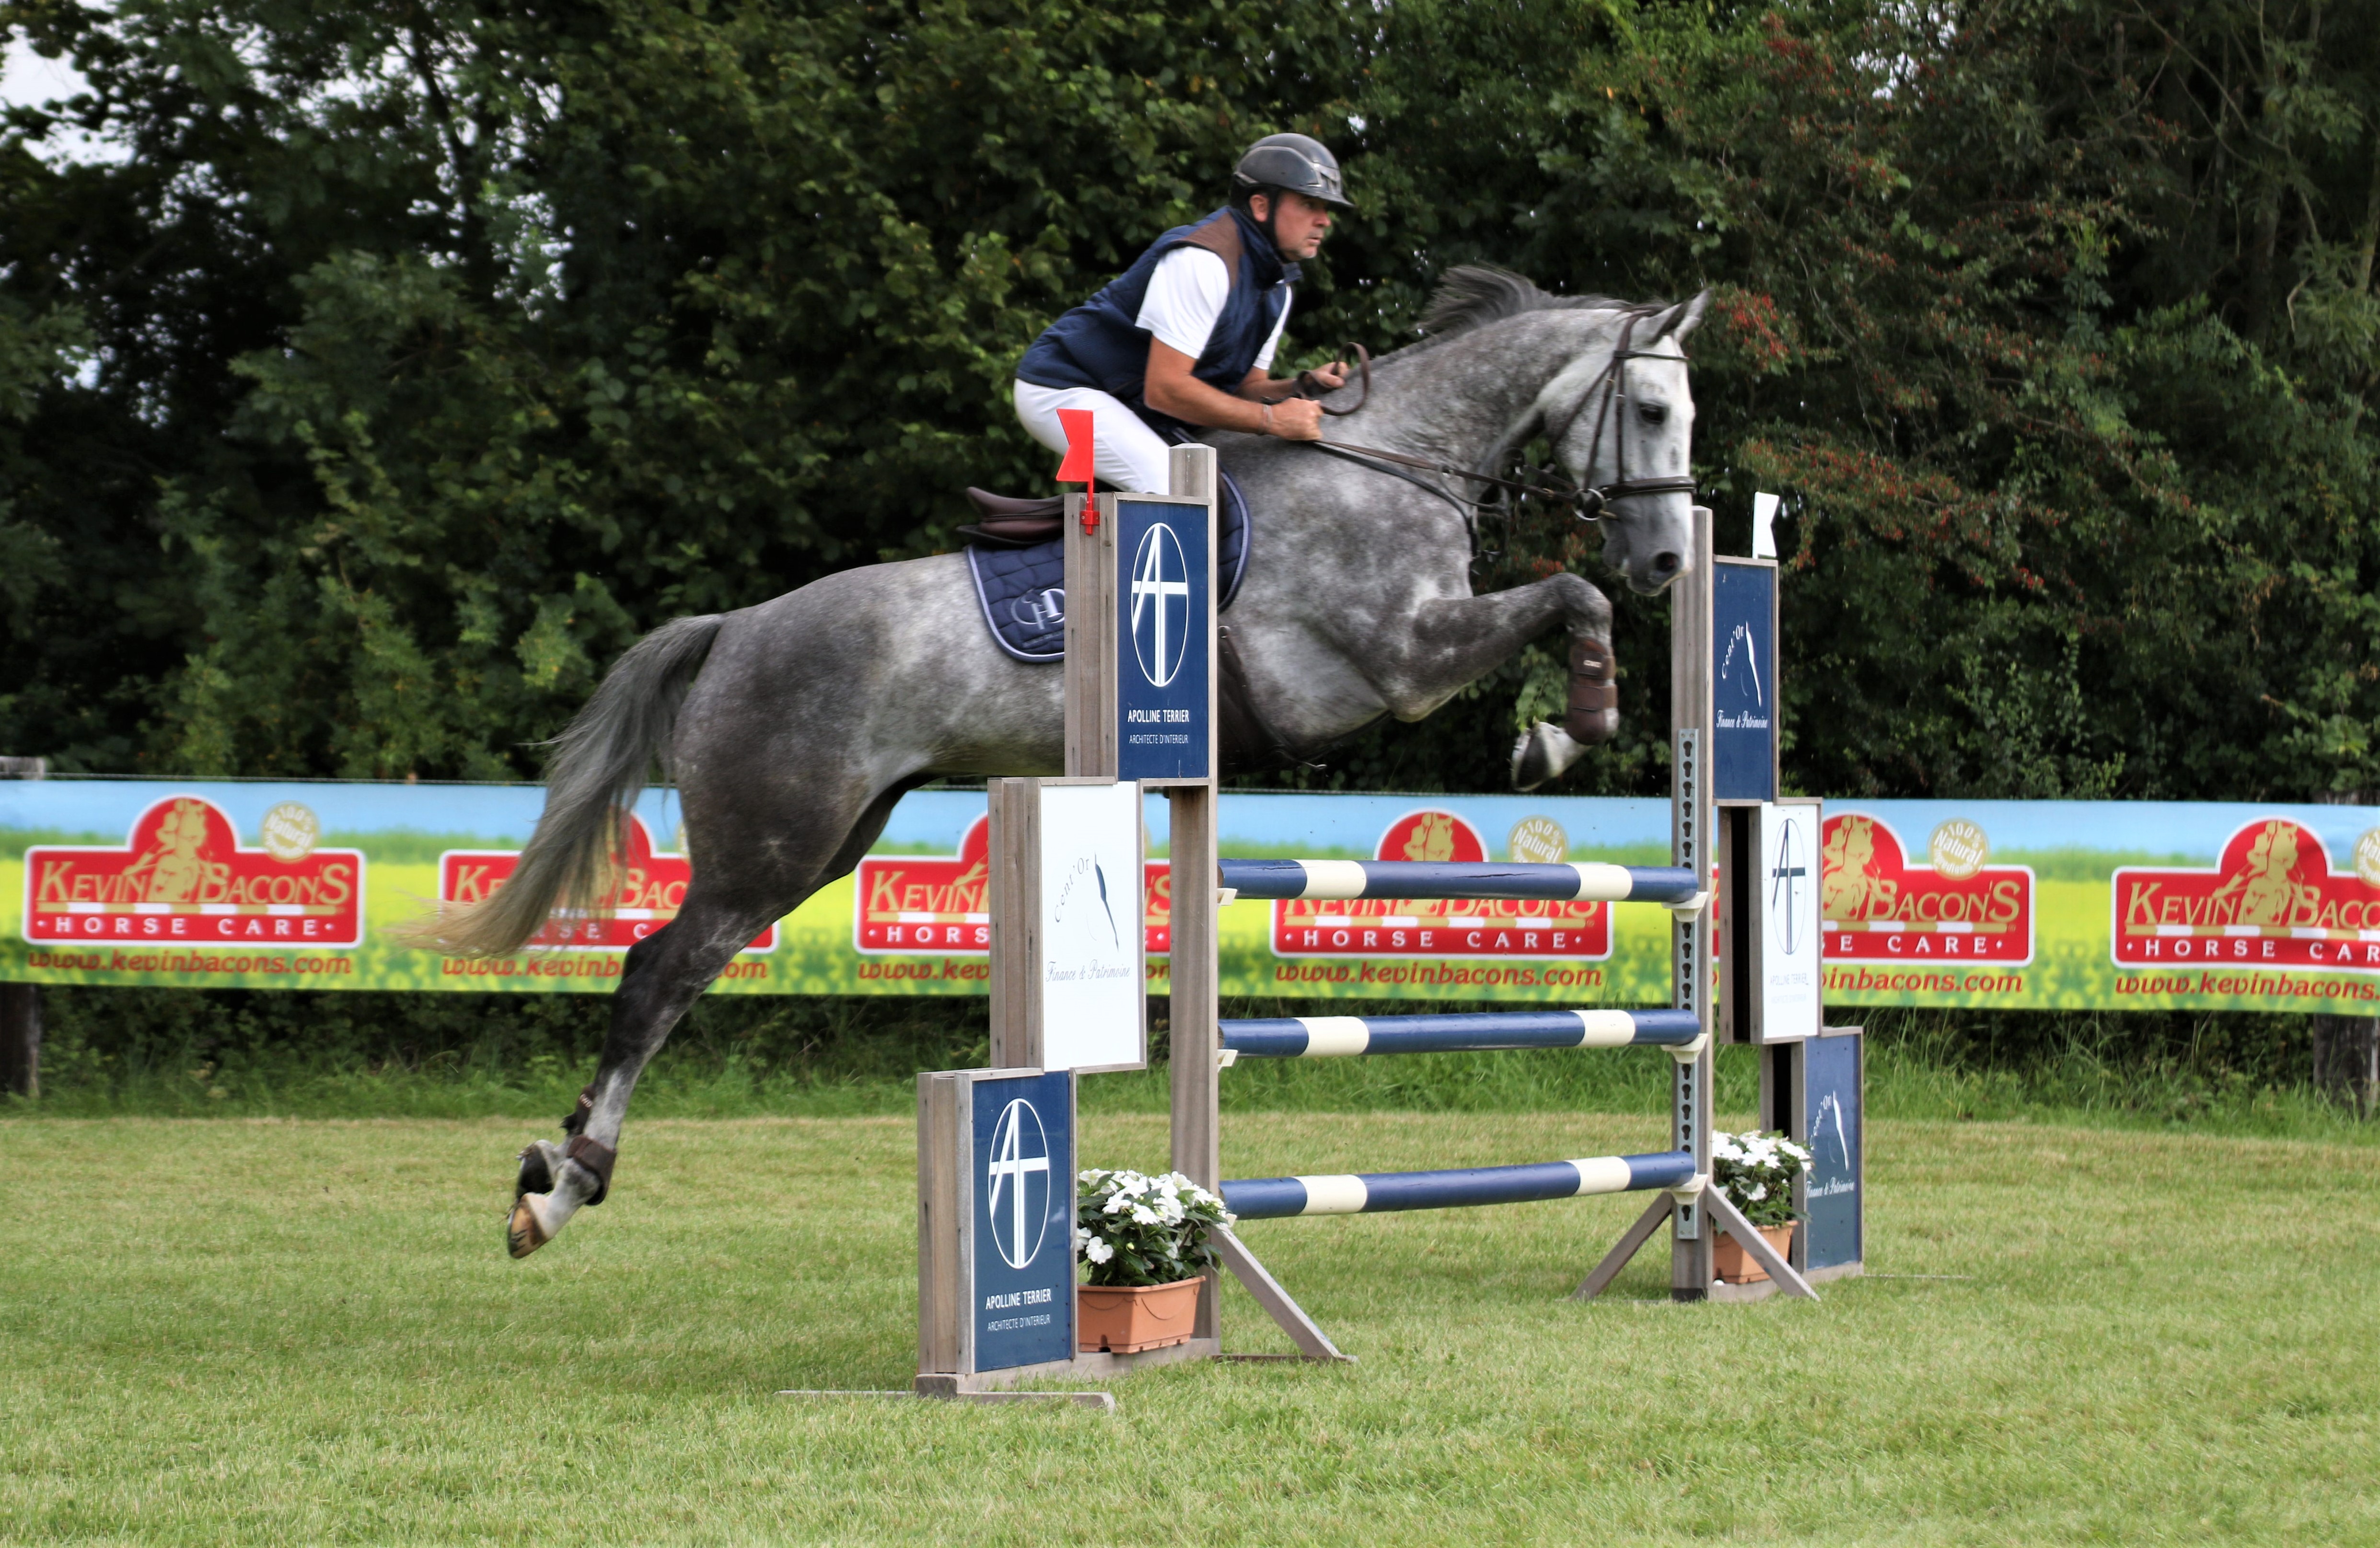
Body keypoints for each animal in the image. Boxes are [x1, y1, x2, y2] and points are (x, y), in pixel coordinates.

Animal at [452, 266, 1708, 1256]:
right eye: (1649, 407)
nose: (1664, 560)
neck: (1388, 465)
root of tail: (736, 626)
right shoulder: (1395, 661)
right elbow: (1566, 593)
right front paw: (1565, 725)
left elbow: (1570, 597)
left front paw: (1567, 718)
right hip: (771, 844)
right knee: (654, 976)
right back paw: (560, 1190)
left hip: (829, 839)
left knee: (670, 975)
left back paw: (556, 1175)